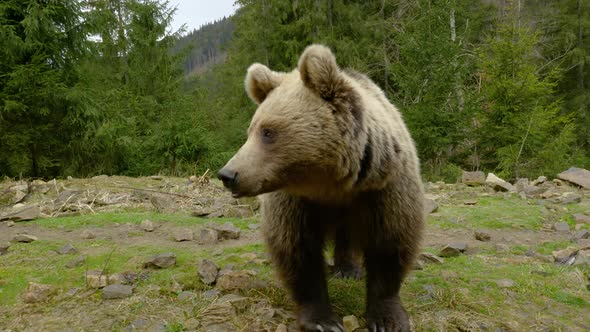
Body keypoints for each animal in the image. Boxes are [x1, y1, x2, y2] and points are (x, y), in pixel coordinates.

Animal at [219, 44, 426, 332]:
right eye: (251, 131)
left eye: (268, 132)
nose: (228, 174)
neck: (332, 182)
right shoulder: (295, 201)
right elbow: (297, 249)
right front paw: (323, 320)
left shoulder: (384, 188)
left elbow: (391, 242)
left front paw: (387, 318)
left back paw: (348, 269)